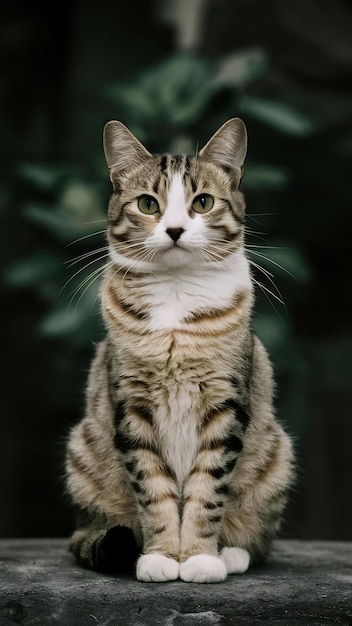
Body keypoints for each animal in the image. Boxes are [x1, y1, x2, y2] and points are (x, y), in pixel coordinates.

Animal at [65, 117, 294, 580]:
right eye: (147, 205)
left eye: (202, 202)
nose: (174, 230)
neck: (175, 294)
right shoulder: (131, 406)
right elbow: (155, 492)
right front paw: (161, 556)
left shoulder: (226, 404)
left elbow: (207, 490)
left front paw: (201, 558)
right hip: (82, 454)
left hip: (277, 456)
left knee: (258, 541)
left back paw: (232, 553)